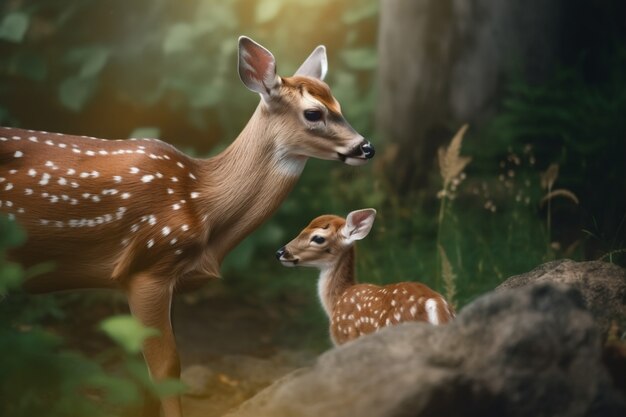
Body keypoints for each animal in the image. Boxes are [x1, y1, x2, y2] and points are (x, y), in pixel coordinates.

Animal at [0, 37, 372, 414]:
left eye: (337, 103)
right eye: (313, 113)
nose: (366, 147)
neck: (203, 206)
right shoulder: (148, 266)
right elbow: (166, 368)